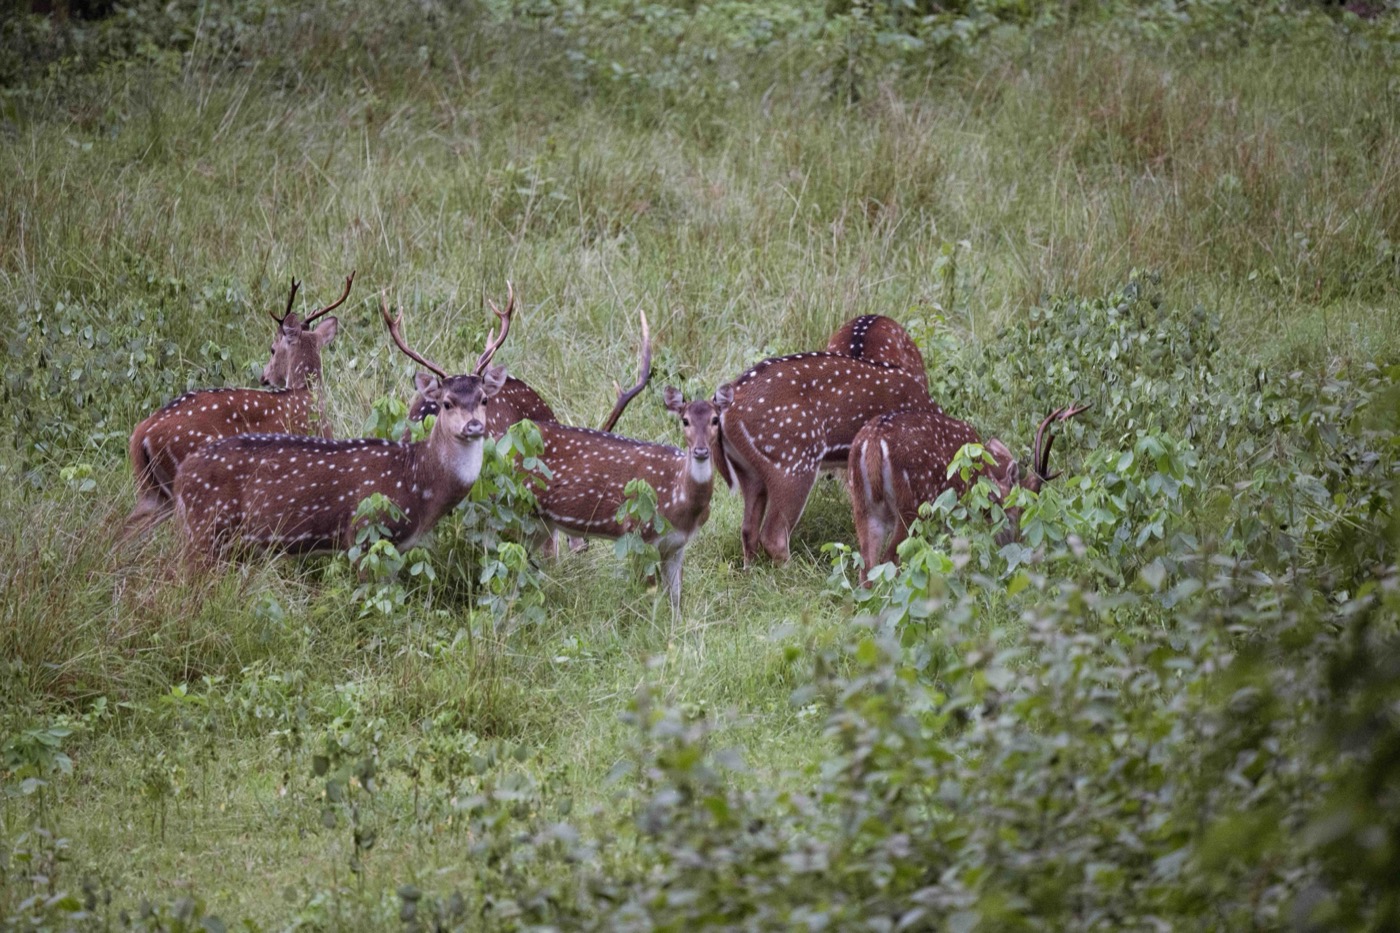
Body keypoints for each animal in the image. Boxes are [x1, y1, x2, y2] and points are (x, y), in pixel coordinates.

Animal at [172, 292, 514, 567]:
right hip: (205, 530)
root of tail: (181, 476)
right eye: (446, 403)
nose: (474, 425)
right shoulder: (364, 533)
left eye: (484, 399)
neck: (417, 482)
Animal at [523, 382, 733, 610]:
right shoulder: (639, 532)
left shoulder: (677, 545)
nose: (701, 451)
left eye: (715, 419)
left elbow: (676, 598)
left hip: (540, 524)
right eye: (685, 420)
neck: (680, 502)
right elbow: (649, 594)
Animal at [846, 403, 1090, 584]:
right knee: (890, 559)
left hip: (863, 506)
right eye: (1018, 513)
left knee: (866, 566)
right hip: (914, 505)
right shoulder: (958, 511)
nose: (1017, 548)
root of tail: (873, 441)